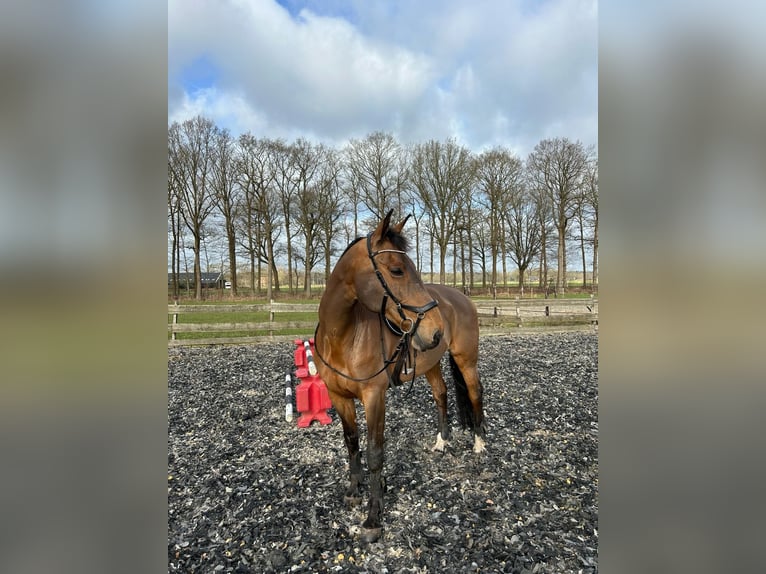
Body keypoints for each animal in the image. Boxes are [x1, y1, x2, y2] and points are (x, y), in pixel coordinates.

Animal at [316, 210, 488, 544]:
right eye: (396, 270)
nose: (435, 330)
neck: (343, 336)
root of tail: (460, 297)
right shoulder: (338, 396)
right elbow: (351, 442)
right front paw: (354, 491)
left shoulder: (374, 397)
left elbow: (375, 452)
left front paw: (373, 517)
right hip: (430, 363)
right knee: (441, 393)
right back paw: (441, 442)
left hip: (466, 360)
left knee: (475, 392)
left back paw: (479, 443)